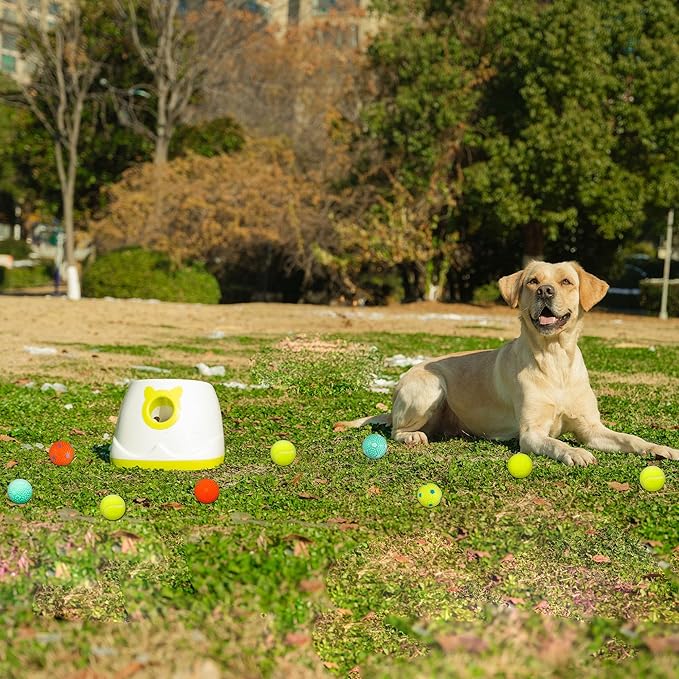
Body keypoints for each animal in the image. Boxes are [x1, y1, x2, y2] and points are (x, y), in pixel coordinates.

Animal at [334, 262, 679, 468]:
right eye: (533, 281)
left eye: (567, 281)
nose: (545, 291)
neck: (555, 360)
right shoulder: (531, 433)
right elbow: (556, 443)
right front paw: (574, 452)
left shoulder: (592, 428)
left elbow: (629, 438)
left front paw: (658, 447)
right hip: (431, 387)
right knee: (395, 429)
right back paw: (412, 436)